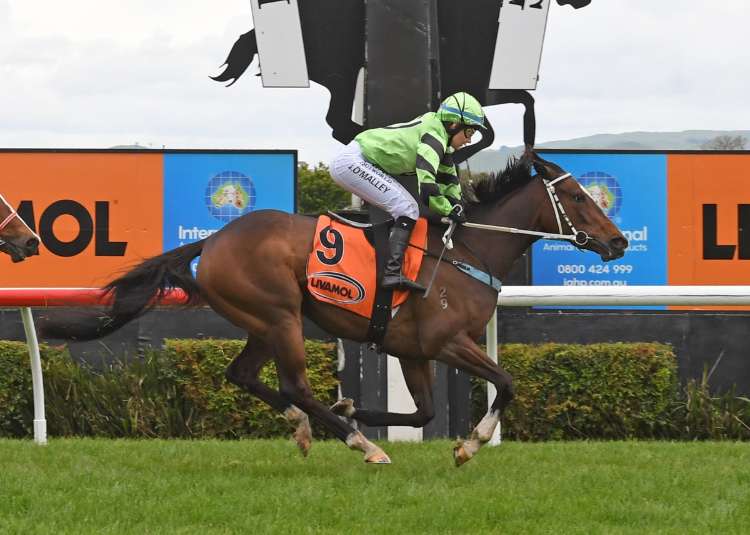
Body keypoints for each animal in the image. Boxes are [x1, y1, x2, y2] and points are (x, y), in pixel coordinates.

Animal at [42, 152, 626, 465]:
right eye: (578, 197)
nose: (619, 242)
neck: (467, 251)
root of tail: (212, 241)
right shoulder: (447, 342)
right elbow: (506, 383)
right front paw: (470, 445)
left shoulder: (412, 350)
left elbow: (424, 412)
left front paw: (354, 408)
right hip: (280, 316)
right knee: (293, 384)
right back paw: (360, 444)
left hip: (265, 319)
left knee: (243, 375)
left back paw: (308, 427)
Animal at [212, 0, 593, 145]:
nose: (584, 2)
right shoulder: (473, 88)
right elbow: (498, 126)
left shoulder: (480, 92)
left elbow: (522, 106)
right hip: (342, 73)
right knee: (337, 122)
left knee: (336, 122)